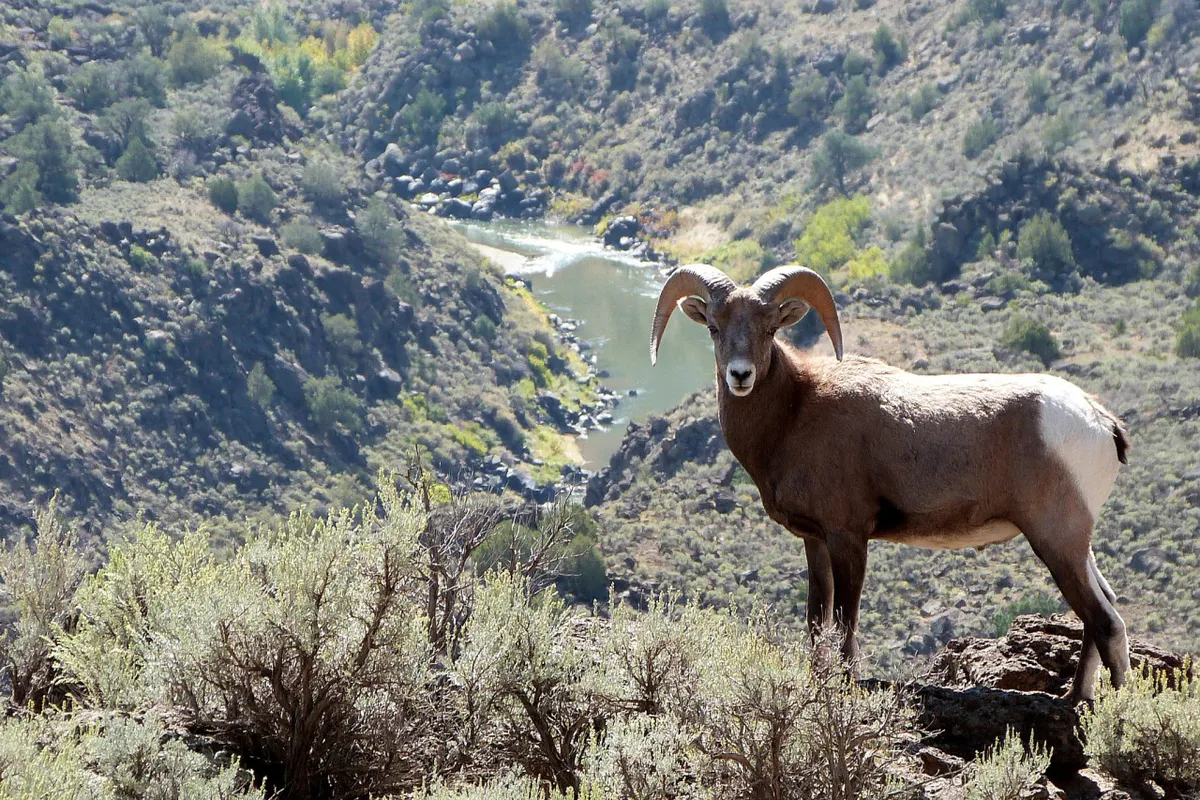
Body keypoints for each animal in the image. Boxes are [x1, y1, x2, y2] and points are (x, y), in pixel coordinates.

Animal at [650, 263, 1131, 702]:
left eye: (770, 329)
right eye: (714, 327)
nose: (740, 376)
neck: (795, 412)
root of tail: (1099, 421)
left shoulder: (849, 538)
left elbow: (845, 623)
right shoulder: (815, 541)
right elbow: (816, 623)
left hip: (1055, 541)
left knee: (1104, 621)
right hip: (1076, 545)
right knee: (1105, 610)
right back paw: (1076, 698)